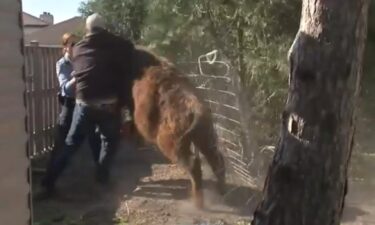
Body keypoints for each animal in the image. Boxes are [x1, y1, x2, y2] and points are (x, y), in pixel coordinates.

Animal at [130, 46, 226, 208]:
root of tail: (196, 110)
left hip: (173, 144)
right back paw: (221, 192)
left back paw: (197, 203)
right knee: (217, 159)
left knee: (193, 165)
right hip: (205, 138)